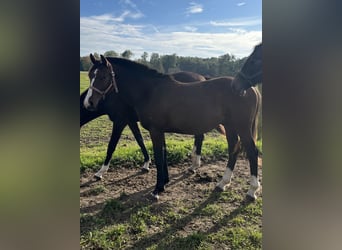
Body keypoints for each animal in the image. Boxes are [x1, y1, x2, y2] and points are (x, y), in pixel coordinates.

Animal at [81, 60, 218, 180]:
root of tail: (202, 78)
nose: (89, 103)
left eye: (103, 77)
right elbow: (140, 140)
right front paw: (147, 163)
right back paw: (193, 161)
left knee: (199, 136)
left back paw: (194, 164)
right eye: (89, 75)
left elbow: (112, 145)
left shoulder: (121, 121)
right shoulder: (130, 121)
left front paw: (100, 172)